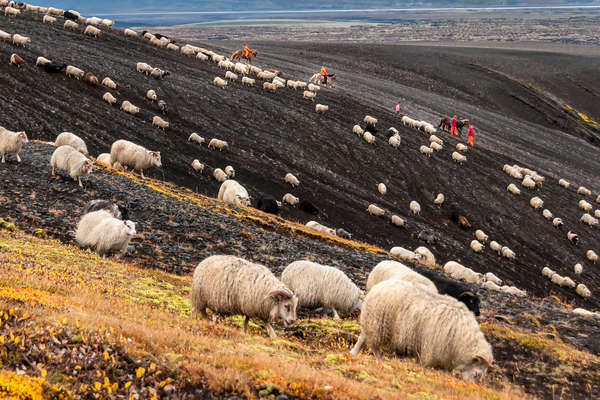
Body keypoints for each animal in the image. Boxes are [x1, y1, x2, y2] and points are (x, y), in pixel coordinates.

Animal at [352, 278, 492, 382]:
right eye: (477, 374)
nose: (468, 385)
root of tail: (381, 285)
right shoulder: (432, 347)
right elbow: (425, 364)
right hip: (377, 322)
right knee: (369, 342)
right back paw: (372, 357)